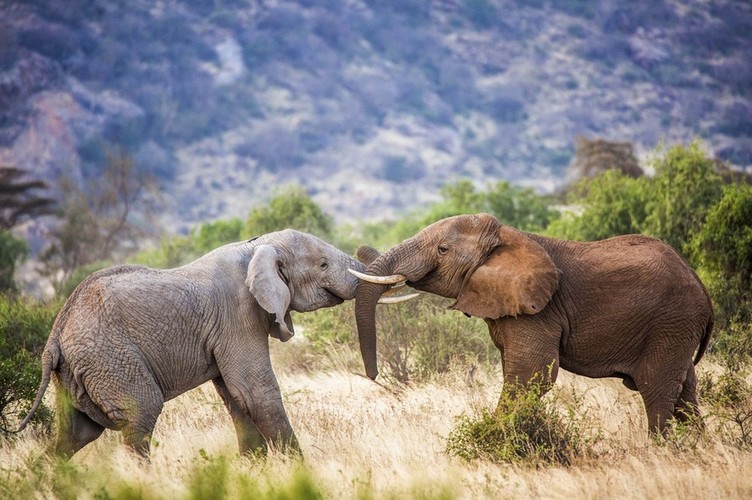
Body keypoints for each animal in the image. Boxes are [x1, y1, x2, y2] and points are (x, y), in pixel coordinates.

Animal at [17, 229, 370, 458]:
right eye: (323, 264)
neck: (259, 245)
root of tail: (55, 335)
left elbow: (237, 396)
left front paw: (252, 469)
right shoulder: (238, 313)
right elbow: (255, 391)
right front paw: (298, 472)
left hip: (76, 372)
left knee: (75, 435)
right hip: (110, 360)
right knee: (140, 417)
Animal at [350, 213, 712, 436]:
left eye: (442, 249)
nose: (373, 376)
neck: (507, 237)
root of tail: (699, 283)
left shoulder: (540, 311)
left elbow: (530, 374)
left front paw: (491, 439)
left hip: (671, 321)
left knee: (657, 389)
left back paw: (661, 451)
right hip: (677, 328)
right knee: (685, 393)